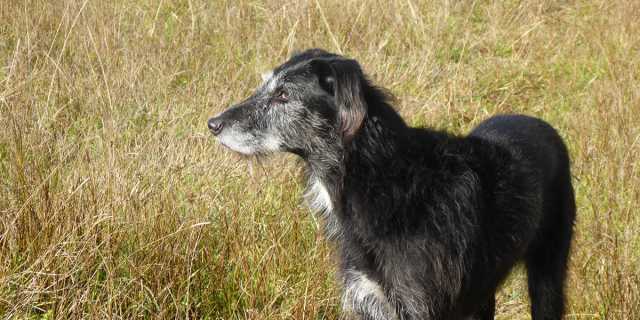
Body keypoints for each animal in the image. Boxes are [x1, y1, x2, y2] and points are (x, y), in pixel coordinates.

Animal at [209, 48, 576, 320]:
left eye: (284, 95)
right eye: (267, 87)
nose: (213, 124)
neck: (378, 177)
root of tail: (542, 125)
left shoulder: (421, 306)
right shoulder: (371, 301)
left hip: (547, 274)